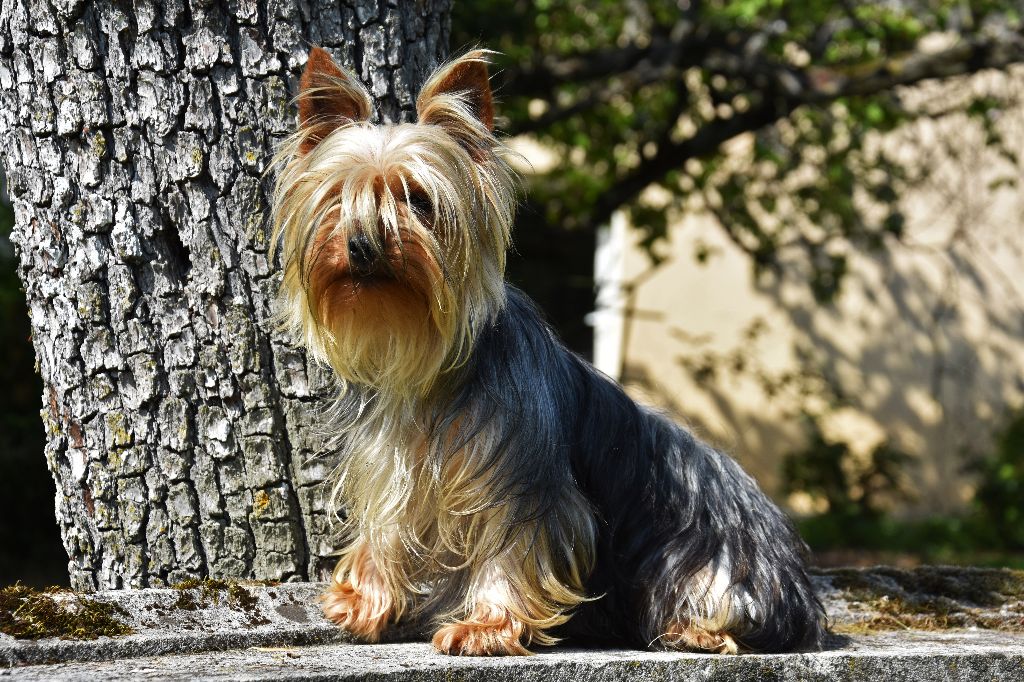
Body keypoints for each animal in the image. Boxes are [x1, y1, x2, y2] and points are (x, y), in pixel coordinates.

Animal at [270, 46, 823, 655]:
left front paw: (485, 627)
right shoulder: (392, 465)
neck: (430, 365)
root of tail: (802, 586)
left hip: (707, 562)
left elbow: (511, 546)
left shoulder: (524, 482)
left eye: (417, 199)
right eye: (336, 197)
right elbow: (386, 529)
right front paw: (364, 602)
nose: (362, 244)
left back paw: (697, 631)